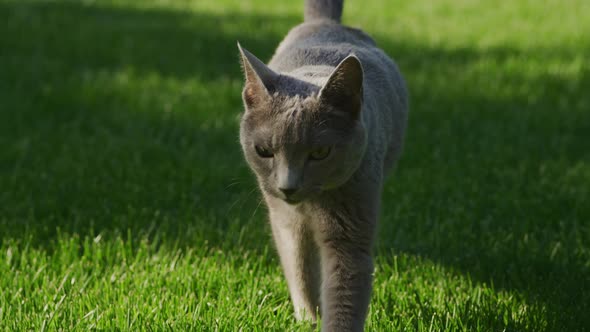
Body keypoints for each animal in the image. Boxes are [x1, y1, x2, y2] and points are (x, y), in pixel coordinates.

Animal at [238, 0, 410, 330]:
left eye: (320, 152)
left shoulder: (351, 226)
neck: (310, 206)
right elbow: (300, 268)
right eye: (264, 151)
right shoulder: (285, 220)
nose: (288, 186)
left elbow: (344, 292)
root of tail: (326, 23)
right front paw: (308, 318)